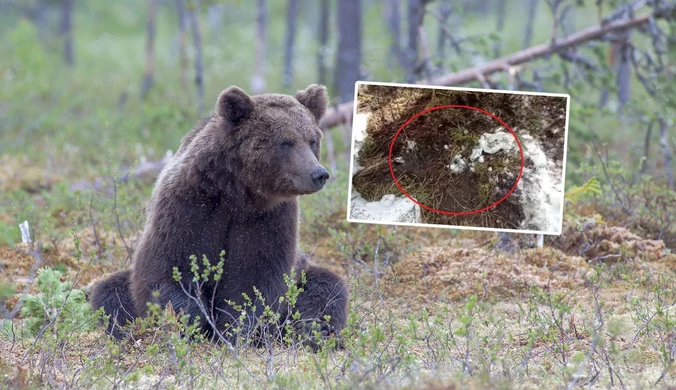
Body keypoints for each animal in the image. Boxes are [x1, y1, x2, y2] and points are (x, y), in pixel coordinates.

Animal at [90, 84, 348, 348]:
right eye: (286, 142)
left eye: (312, 140)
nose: (319, 174)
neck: (237, 191)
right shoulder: (188, 205)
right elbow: (168, 267)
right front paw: (191, 321)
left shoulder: (269, 218)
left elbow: (256, 278)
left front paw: (234, 330)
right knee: (111, 292)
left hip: (304, 269)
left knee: (325, 287)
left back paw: (315, 330)